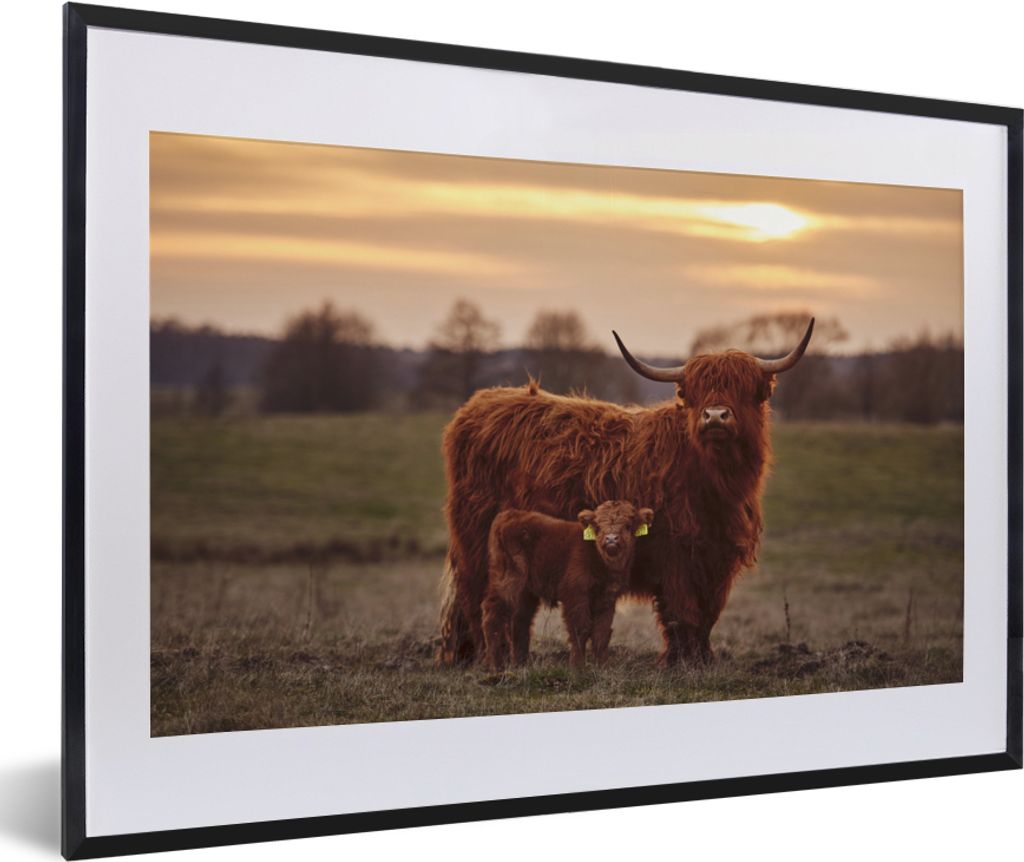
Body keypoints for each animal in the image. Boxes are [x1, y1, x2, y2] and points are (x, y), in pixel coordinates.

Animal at [483, 501, 654, 670]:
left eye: (628, 525)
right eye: (598, 525)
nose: (611, 539)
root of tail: (509, 514)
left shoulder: (607, 599)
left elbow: (601, 632)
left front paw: (603, 667)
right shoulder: (576, 595)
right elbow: (580, 629)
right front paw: (577, 668)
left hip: (525, 591)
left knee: (520, 620)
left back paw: (521, 664)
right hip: (508, 580)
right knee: (493, 613)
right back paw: (496, 666)